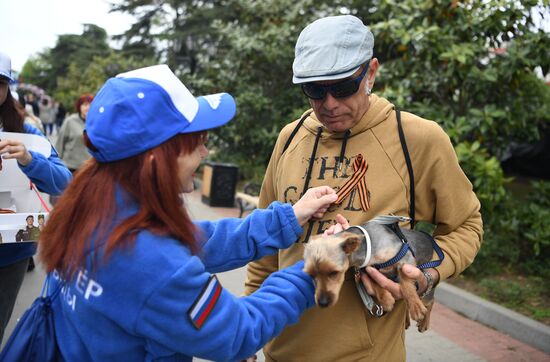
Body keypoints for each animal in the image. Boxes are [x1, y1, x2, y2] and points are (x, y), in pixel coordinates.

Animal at [304, 215, 442, 330]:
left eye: (333, 273)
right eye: (311, 275)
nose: (322, 303)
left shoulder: (405, 259)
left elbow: (407, 285)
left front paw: (416, 307)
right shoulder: (369, 269)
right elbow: (376, 283)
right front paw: (386, 299)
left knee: (430, 301)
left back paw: (424, 322)